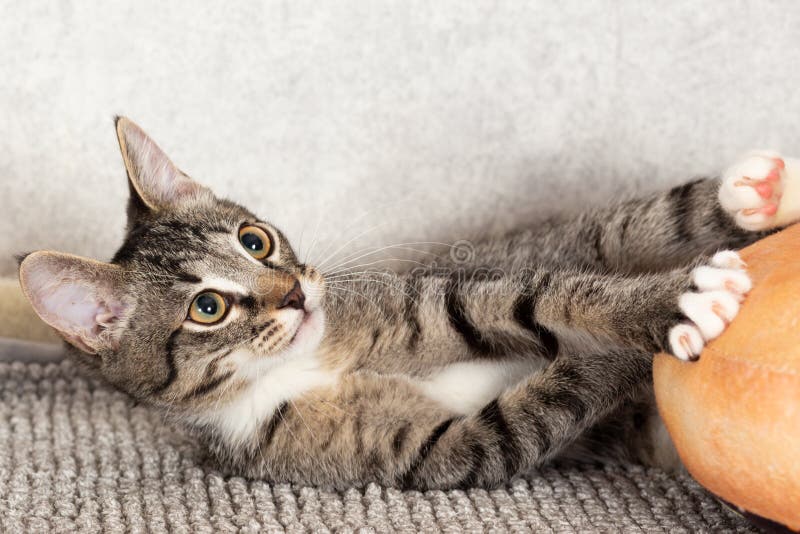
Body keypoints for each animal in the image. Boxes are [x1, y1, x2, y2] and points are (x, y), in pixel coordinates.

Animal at [17, 119, 792, 492]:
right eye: (208, 308)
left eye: (255, 239)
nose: (295, 293)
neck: (305, 366)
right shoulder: (429, 454)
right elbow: (533, 411)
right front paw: (631, 351)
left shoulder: (431, 299)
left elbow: (537, 298)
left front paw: (668, 304)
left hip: (571, 239)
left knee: (630, 226)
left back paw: (757, 194)